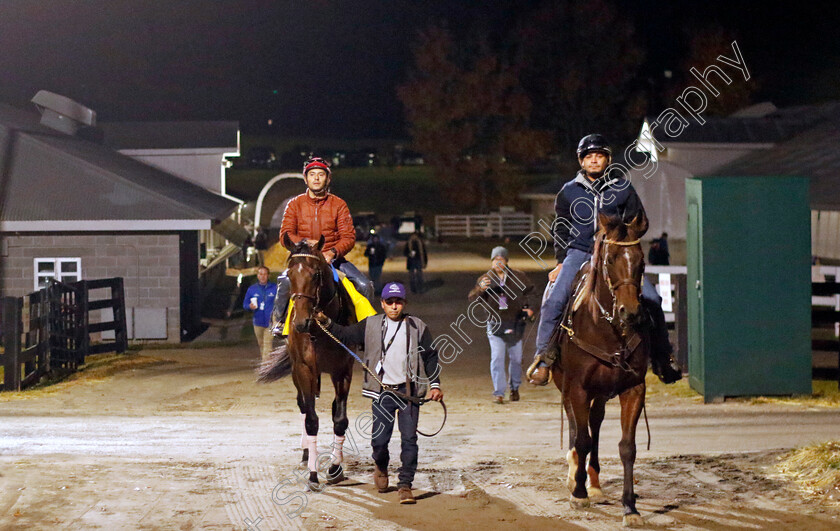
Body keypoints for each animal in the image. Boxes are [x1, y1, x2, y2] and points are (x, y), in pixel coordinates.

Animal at [260, 235, 358, 492]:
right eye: (291, 274)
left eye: (316, 274)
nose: (301, 322)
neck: (320, 330)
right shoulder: (304, 369)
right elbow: (312, 420)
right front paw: (313, 476)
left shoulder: (343, 370)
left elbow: (340, 420)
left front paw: (335, 468)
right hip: (298, 372)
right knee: (304, 406)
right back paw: (306, 454)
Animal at [556, 211, 652, 528]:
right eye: (610, 259)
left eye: (641, 260)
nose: (630, 312)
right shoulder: (578, 388)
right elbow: (582, 438)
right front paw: (578, 493)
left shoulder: (633, 389)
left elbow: (627, 447)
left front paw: (630, 507)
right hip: (567, 387)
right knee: (577, 426)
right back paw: (575, 474)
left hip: (600, 393)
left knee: (595, 423)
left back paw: (595, 483)